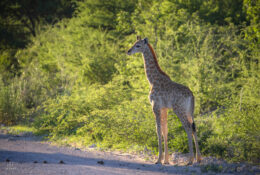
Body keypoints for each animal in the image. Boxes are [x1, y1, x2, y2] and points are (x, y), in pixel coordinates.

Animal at [127, 35, 202, 164]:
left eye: (138, 45)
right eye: (133, 43)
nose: (128, 51)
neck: (152, 80)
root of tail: (191, 96)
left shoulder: (155, 106)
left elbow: (158, 130)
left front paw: (158, 160)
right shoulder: (164, 108)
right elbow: (165, 130)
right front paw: (166, 160)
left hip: (179, 110)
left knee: (188, 127)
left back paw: (190, 160)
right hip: (189, 111)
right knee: (194, 127)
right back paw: (198, 159)